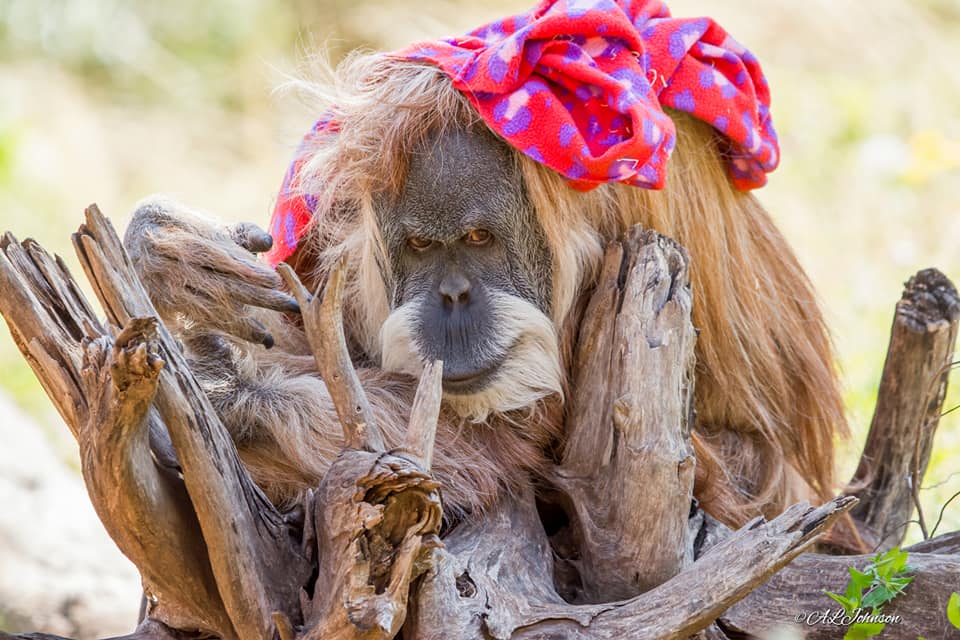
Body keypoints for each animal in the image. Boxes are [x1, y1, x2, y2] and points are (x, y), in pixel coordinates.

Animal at [124, 48, 847, 529]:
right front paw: (166, 256)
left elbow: (509, 444)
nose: (451, 300)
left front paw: (228, 392)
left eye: (476, 239)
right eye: (421, 247)